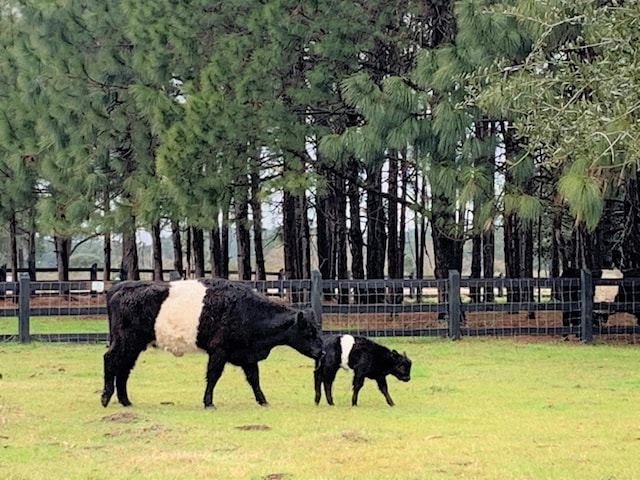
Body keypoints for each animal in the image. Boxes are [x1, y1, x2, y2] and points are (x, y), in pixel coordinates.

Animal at [105, 278, 328, 408]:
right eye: (309, 332)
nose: (322, 352)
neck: (247, 311)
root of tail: (121, 287)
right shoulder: (219, 350)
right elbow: (213, 376)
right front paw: (208, 403)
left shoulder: (247, 355)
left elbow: (254, 378)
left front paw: (263, 401)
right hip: (126, 341)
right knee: (110, 360)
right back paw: (106, 398)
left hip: (133, 345)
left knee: (124, 368)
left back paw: (125, 401)